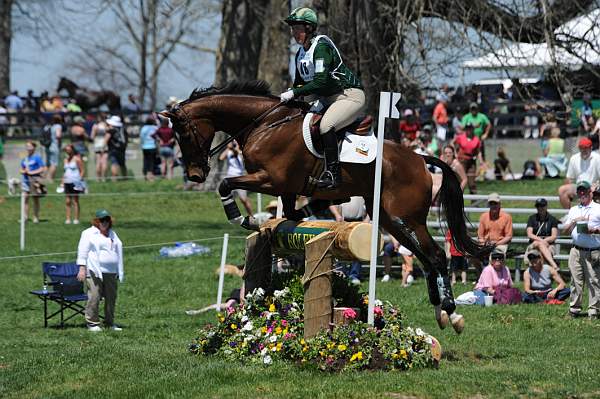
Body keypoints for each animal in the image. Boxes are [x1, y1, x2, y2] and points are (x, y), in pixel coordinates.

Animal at [161, 80, 492, 334]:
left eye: (184, 134)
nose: (195, 175)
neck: (265, 125)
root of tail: (420, 159)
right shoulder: (286, 190)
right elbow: (290, 216)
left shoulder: (270, 179)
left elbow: (226, 184)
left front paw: (239, 218)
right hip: (388, 219)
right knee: (424, 258)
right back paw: (442, 312)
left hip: (406, 216)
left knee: (435, 255)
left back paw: (451, 311)